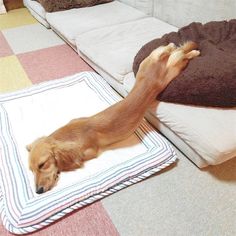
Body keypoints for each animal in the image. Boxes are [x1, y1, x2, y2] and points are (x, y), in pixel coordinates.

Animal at [26, 42, 199, 194]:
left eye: (42, 165)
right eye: (31, 170)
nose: (38, 191)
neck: (69, 134)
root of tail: (160, 61)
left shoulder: (90, 151)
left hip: (173, 70)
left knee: (183, 55)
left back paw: (194, 52)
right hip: (150, 60)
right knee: (170, 48)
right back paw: (175, 47)